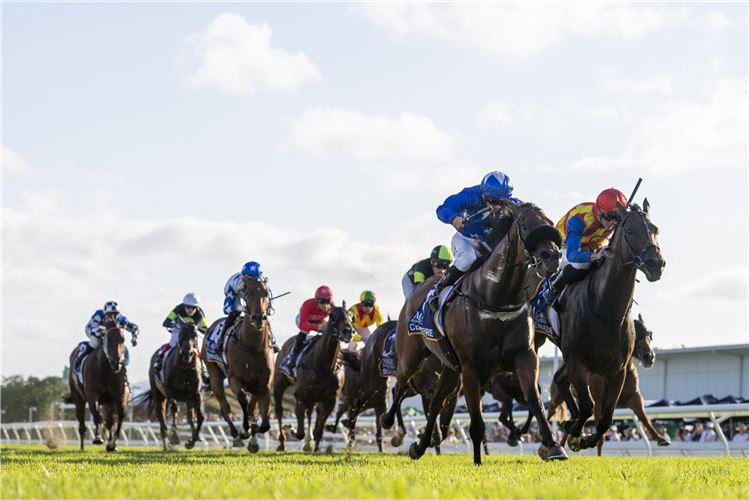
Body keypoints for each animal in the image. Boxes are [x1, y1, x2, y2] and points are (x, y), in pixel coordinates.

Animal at [66, 320, 130, 454]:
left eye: (123, 339)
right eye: (108, 339)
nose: (116, 363)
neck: (105, 370)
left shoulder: (119, 395)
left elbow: (120, 415)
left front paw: (112, 443)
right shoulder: (92, 395)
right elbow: (96, 416)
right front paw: (97, 437)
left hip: (108, 402)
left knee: (110, 421)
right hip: (78, 398)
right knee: (82, 422)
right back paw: (82, 445)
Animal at [141, 322, 202, 452]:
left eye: (195, 335)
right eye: (180, 335)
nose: (187, 353)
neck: (185, 369)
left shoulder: (196, 394)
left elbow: (199, 417)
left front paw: (191, 441)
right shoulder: (170, 392)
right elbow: (174, 409)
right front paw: (175, 438)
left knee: (189, 417)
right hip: (159, 396)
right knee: (162, 418)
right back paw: (166, 444)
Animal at [200, 276, 276, 452]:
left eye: (266, 294)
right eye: (247, 294)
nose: (258, 318)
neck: (253, 347)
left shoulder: (264, 387)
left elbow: (265, 424)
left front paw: (253, 435)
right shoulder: (234, 379)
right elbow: (242, 400)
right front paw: (244, 430)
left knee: (251, 409)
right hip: (215, 375)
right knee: (225, 408)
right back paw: (236, 436)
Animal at [274, 304, 356, 454]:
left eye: (350, 316)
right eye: (332, 316)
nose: (348, 331)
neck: (323, 366)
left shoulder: (330, 401)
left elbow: (319, 430)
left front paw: (316, 448)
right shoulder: (300, 397)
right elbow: (299, 433)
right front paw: (291, 428)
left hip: (315, 398)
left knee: (312, 412)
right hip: (279, 383)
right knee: (279, 411)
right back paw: (282, 443)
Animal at [380, 203, 568, 464]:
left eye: (550, 222)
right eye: (525, 226)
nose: (552, 256)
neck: (495, 298)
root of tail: (417, 292)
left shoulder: (525, 356)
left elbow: (534, 400)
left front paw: (553, 446)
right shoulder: (471, 368)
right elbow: (477, 421)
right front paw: (478, 462)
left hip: (449, 369)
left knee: (436, 402)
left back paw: (420, 446)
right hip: (412, 356)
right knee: (400, 384)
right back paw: (390, 424)